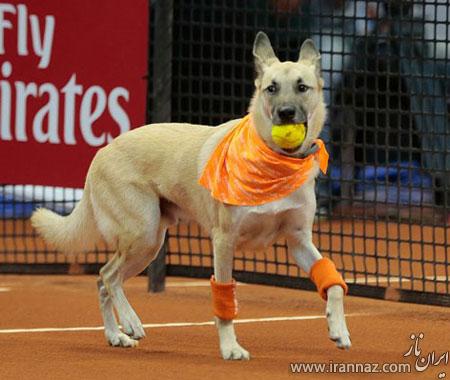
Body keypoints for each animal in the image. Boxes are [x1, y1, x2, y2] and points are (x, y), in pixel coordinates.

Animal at [31, 31, 352, 360]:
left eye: (302, 87)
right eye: (271, 88)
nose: (286, 113)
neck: (276, 165)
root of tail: (101, 153)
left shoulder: (298, 241)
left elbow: (333, 284)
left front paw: (338, 329)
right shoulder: (224, 240)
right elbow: (224, 299)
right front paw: (230, 347)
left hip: (148, 246)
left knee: (102, 280)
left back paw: (115, 335)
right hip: (143, 234)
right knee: (109, 276)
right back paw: (130, 322)